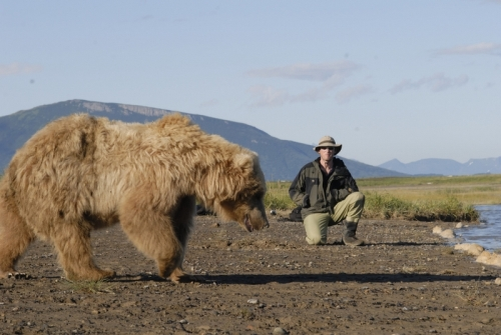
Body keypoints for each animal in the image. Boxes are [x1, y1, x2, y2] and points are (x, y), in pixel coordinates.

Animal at [0, 113, 270, 284]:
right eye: (257, 193)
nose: (264, 223)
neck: (193, 168)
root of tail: (17, 159)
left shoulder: (182, 196)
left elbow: (178, 227)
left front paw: (181, 272)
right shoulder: (158, 175)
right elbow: (141, 215)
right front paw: (166, 265)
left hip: (22, 199)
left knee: (15, 231)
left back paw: (10, 270)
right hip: (60, 186)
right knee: (71, 233)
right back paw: (97, 272)